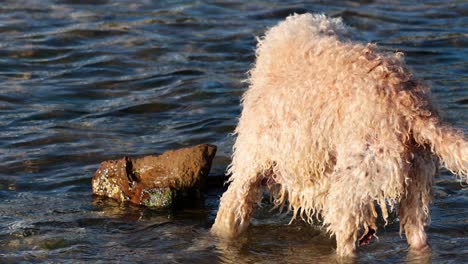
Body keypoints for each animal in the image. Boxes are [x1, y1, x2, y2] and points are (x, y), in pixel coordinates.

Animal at [210, 13, 466, 256]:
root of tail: (410, 106)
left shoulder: (251, 164)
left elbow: (229, 213)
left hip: (353, 182)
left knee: (346, 244)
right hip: (415, 183)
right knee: (418, 235)